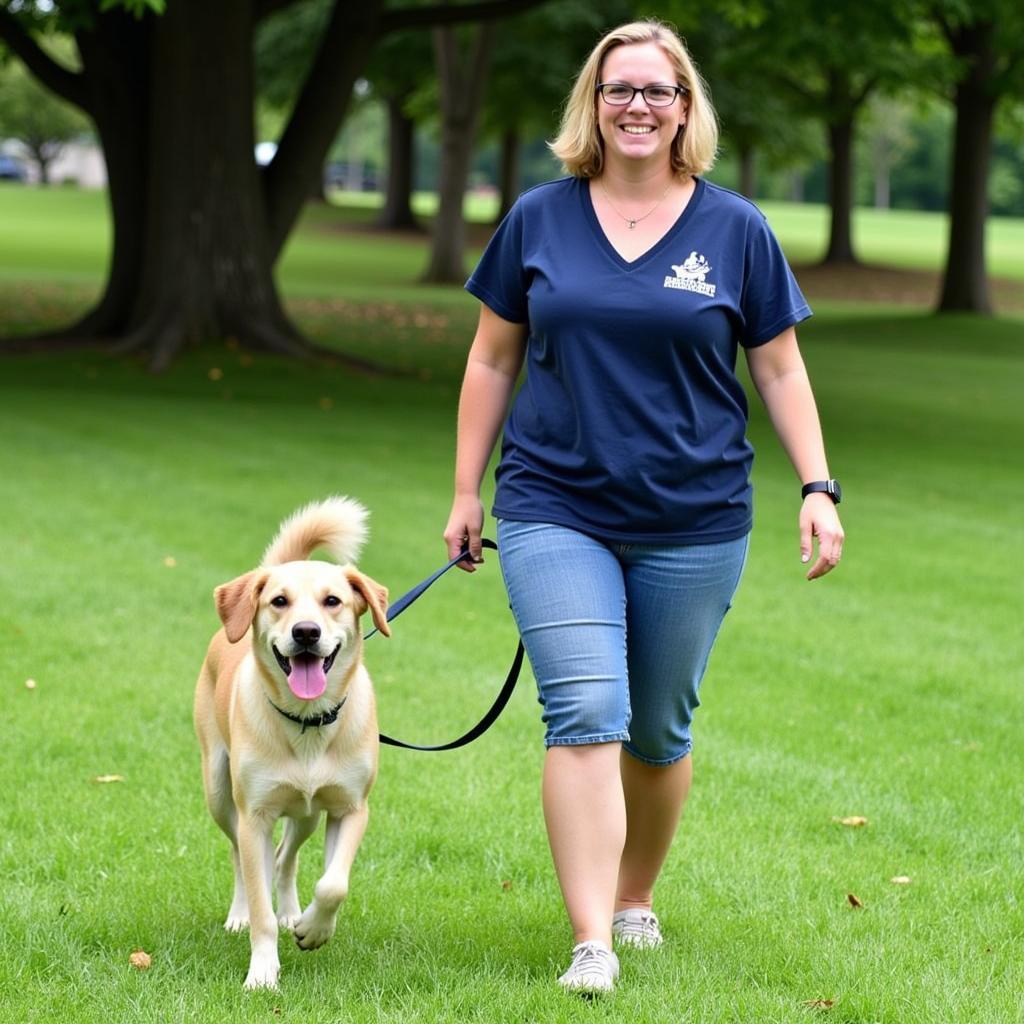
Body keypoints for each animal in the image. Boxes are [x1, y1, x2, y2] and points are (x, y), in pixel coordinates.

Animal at [193, 497, 389, 991]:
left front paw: (312, 929)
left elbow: (334, 884)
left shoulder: (350, 808)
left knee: (285, 858)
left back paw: (291, 914)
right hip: (220, 791)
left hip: (305, 813)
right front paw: (263, 972)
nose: (305, 632)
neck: (308, 722)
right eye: (278, 601)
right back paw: (240, 914)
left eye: (333, 601)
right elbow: (256, 887)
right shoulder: (255, 815)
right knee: (241, 858)